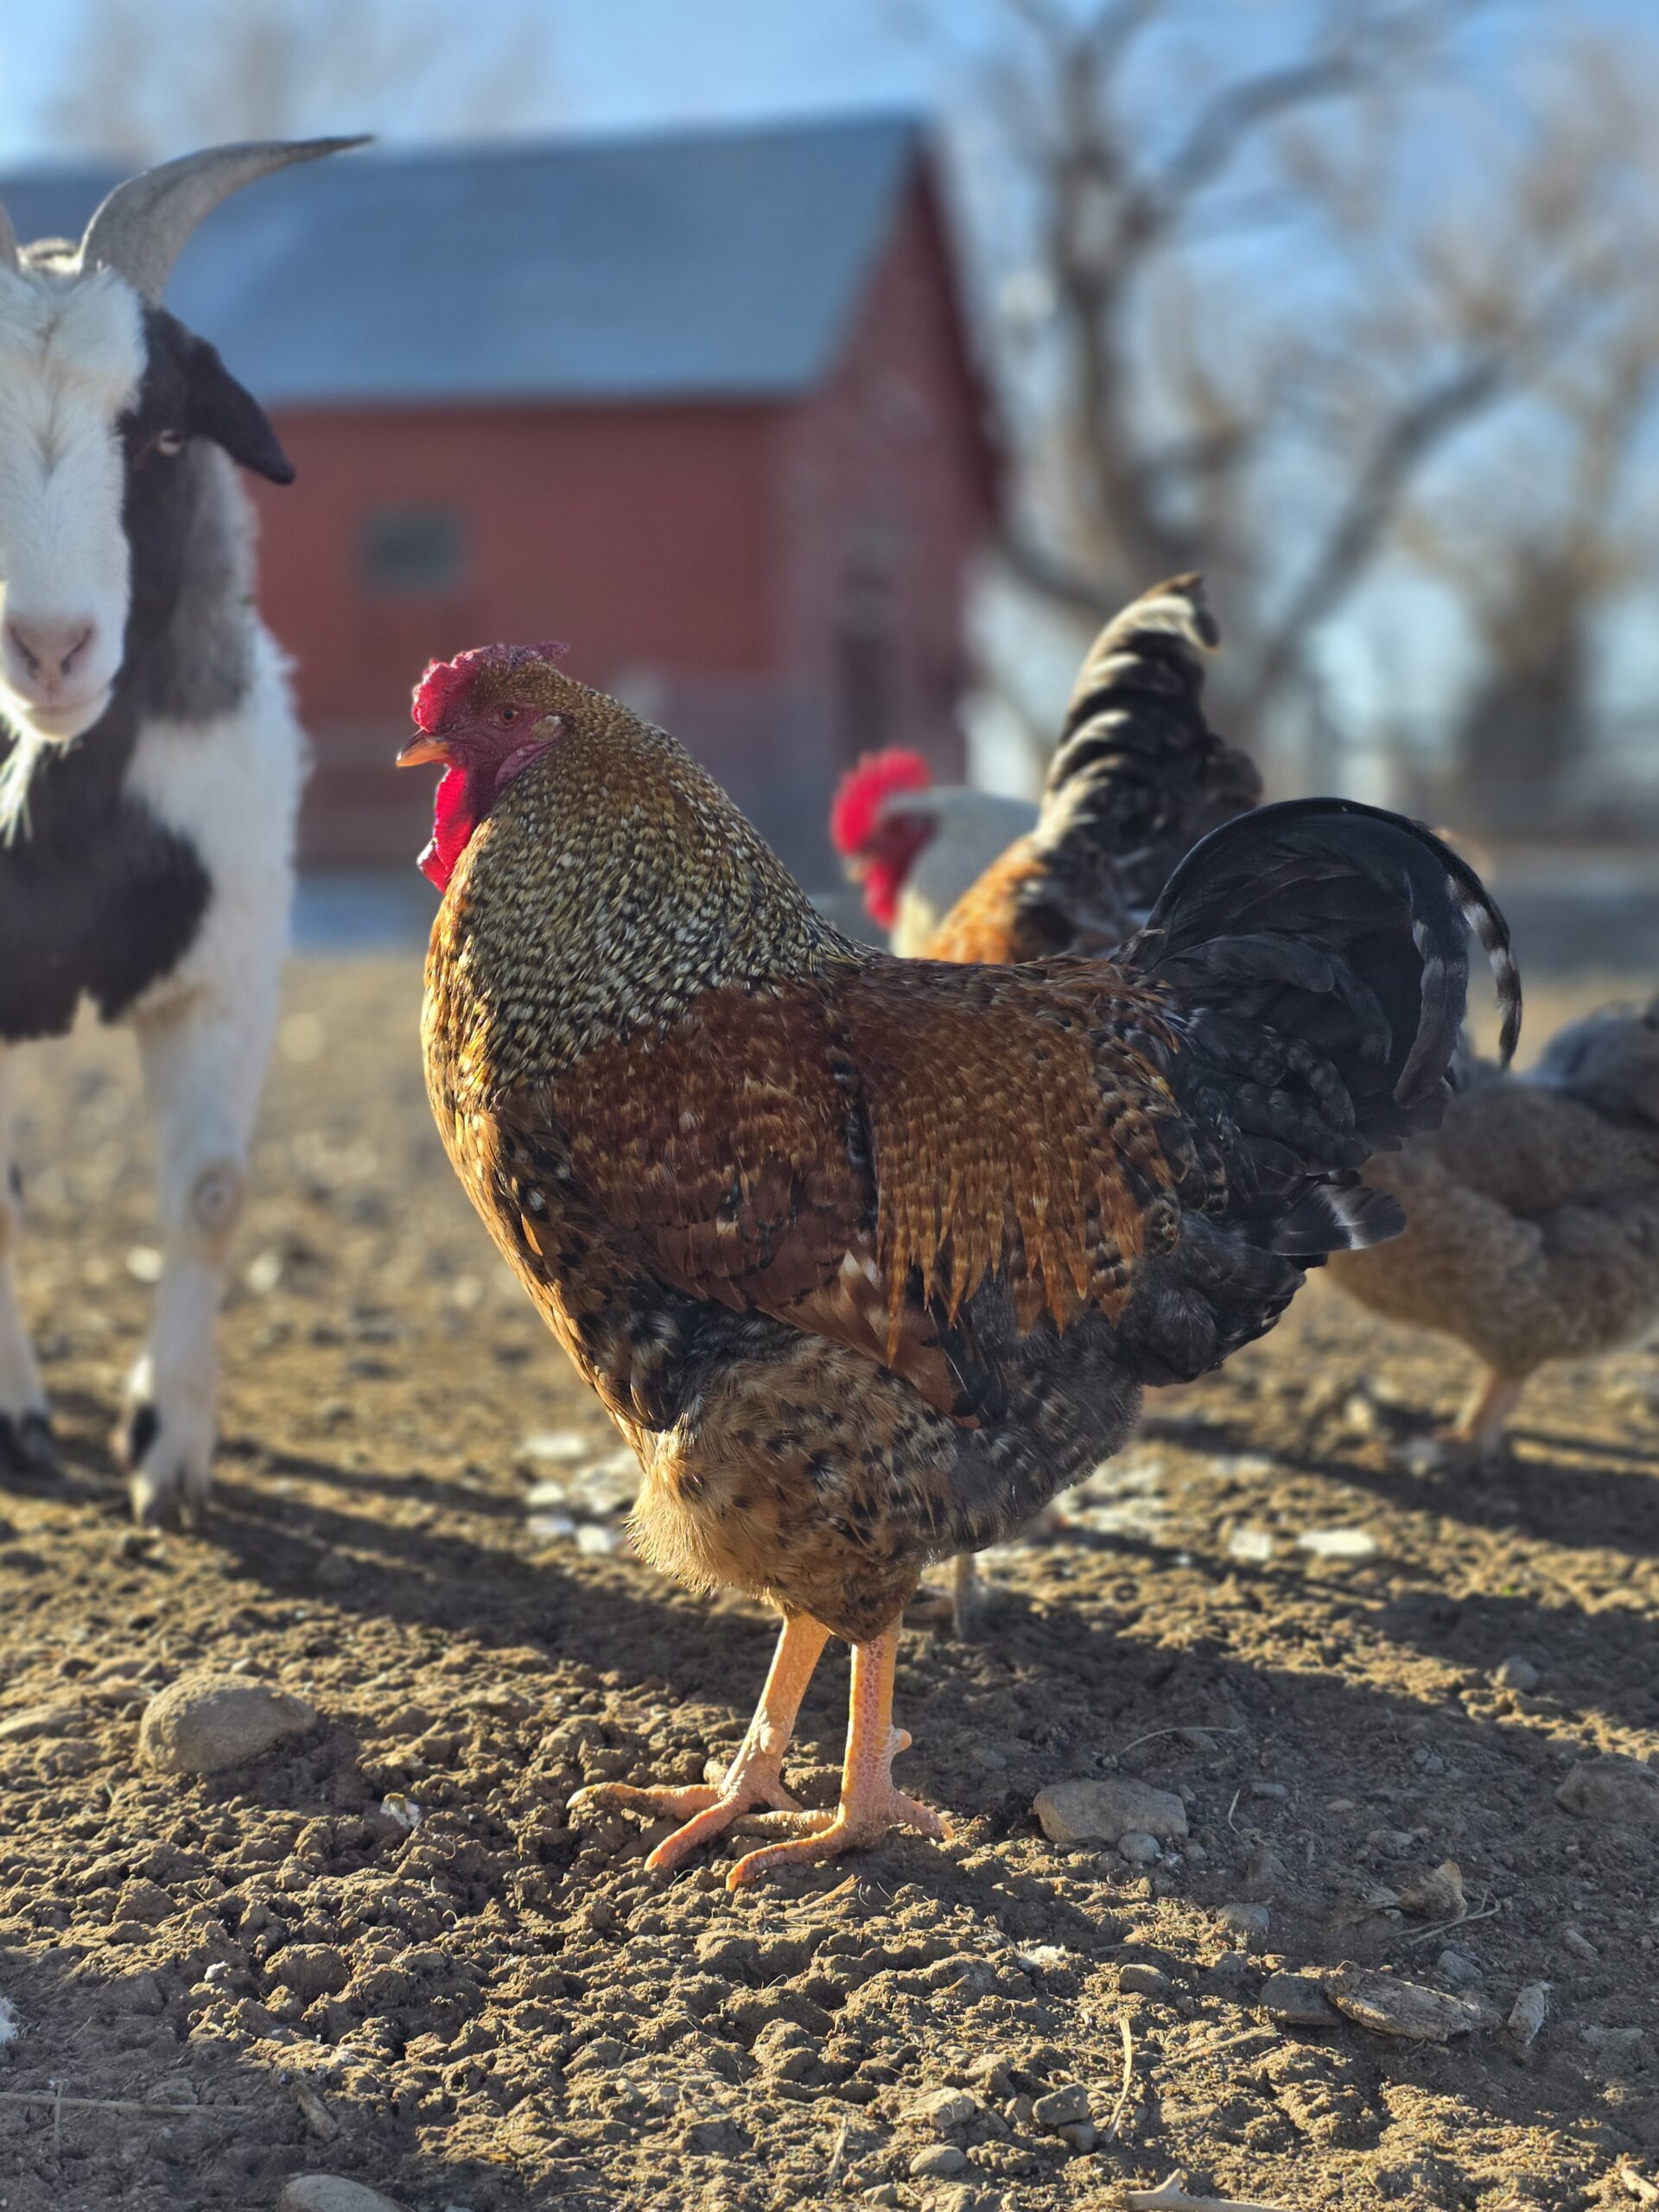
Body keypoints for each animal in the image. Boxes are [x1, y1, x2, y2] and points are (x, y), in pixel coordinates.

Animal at [0, 137, 364, 1523]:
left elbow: (211, 1195)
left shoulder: (228, 972)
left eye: (159, 432)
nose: (49, 647)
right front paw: (19, 1421)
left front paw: (172, 1448)